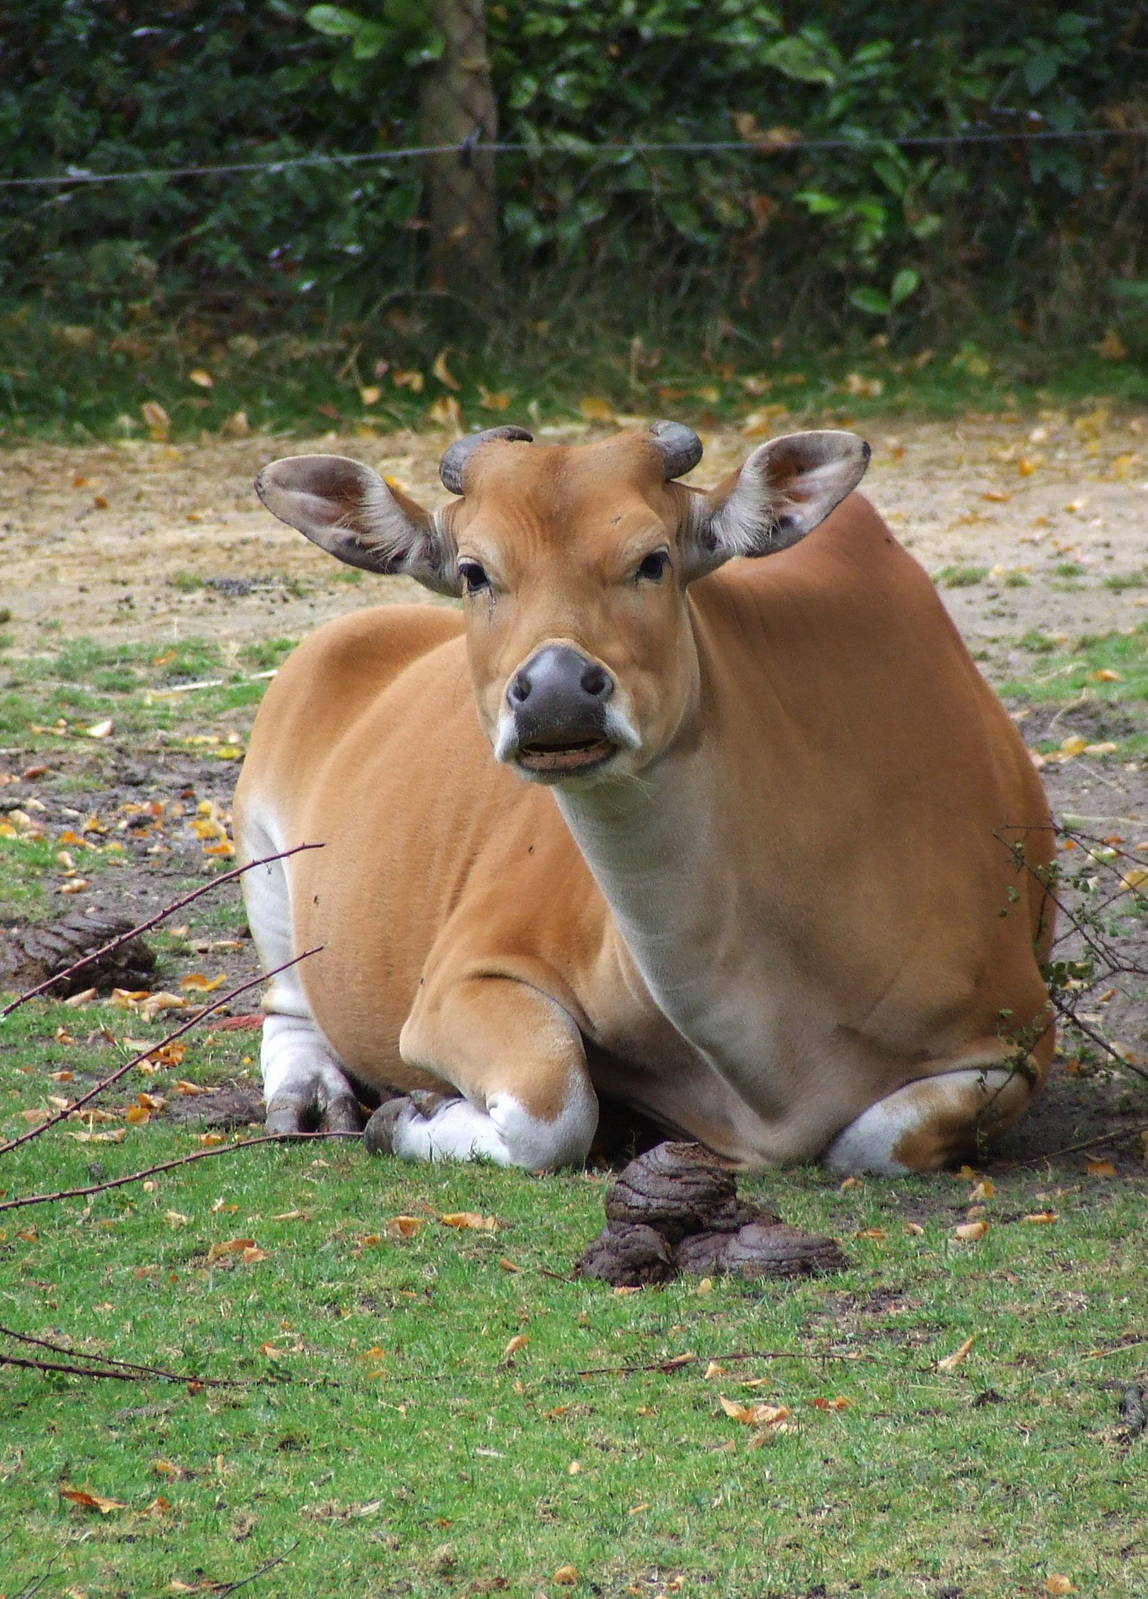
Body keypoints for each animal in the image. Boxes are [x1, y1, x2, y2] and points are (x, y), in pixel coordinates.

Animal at [233, 422, 1054, 1175]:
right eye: (473, 571)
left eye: (653, 560)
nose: (557, 693)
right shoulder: (459, 979)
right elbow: (553, 1107)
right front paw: (409, 1113)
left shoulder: (1014, 1045)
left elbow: (874, 1141)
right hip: (262, 851)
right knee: (289, 1004)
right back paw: (312, 1091)